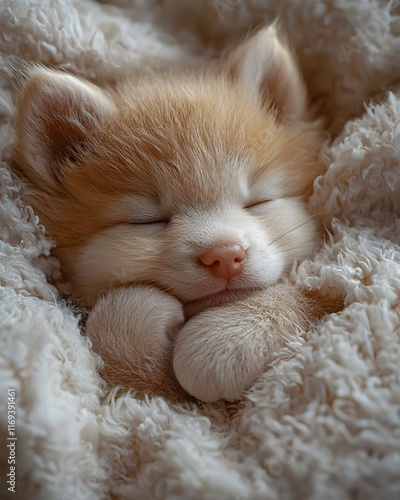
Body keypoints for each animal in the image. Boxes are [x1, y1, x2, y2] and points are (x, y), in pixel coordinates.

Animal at [14, 26, 326, 402]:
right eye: (149, 221)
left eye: (257, 202)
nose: (225, 255)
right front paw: (138, 316)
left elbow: (305, 292)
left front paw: (229, 337)